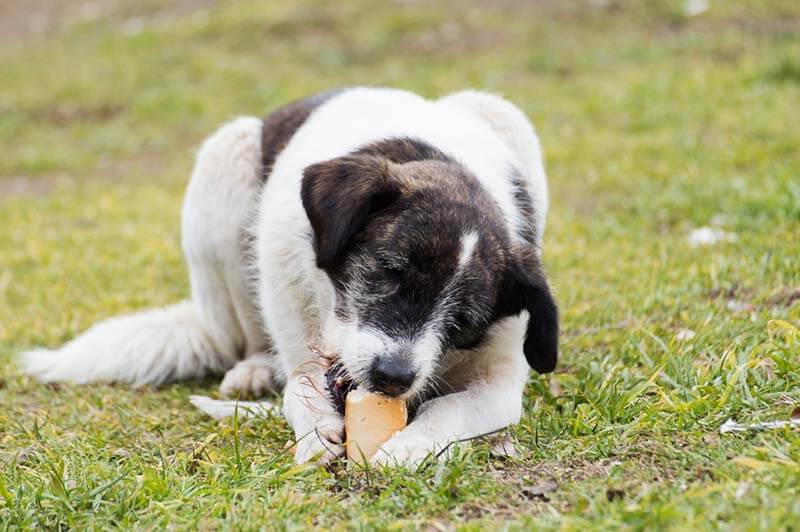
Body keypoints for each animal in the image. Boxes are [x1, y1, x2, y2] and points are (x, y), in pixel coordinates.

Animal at [18, 87, 556, 466]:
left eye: (464, 320)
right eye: (389, 271)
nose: (392, 377)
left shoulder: (501, 379)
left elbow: (452, 407)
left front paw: (412, 445)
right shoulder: (301, 341)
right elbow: (299, 388)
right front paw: (316, 432)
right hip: (224, 158)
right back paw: (256, 367)